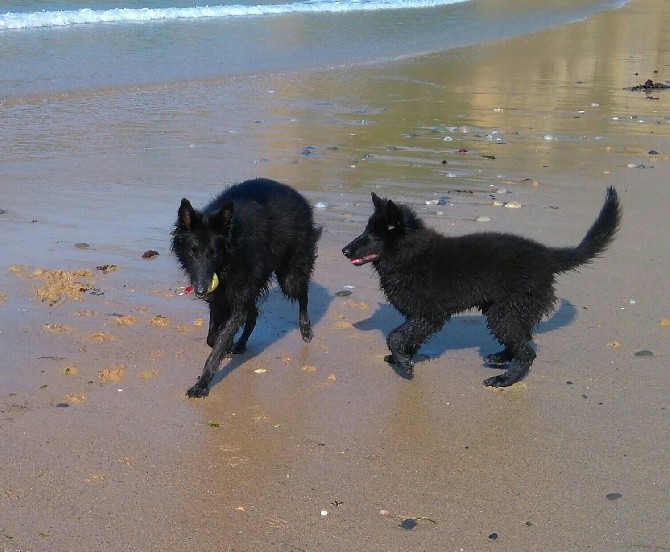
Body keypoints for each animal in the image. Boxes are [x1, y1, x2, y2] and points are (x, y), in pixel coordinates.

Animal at [172, 178, 322, 396]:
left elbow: (219, 343)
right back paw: (241, 343)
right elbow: (213, 338)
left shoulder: (237, 300)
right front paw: (226, 347)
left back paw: (305, 328)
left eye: (213, 254)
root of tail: (295, 193)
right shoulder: (220, 300)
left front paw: (202, 384)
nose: (201, 290)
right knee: (253, 315)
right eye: (192, 253)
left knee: (303, 295)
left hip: (289, 277)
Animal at [346, 188, 624, 386]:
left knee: (528, 352)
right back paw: (501, 358)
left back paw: (505, 380)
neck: (412, 257)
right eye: (365, 231)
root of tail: (547, 256)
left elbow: (395, 336)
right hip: (509, 311)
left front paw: (403, 363)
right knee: (523, 339)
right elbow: (407, 338)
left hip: (504, 313)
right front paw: (402, 358)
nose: (344, 250)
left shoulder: (429, 315)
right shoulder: (419, 318)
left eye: (374, 236)